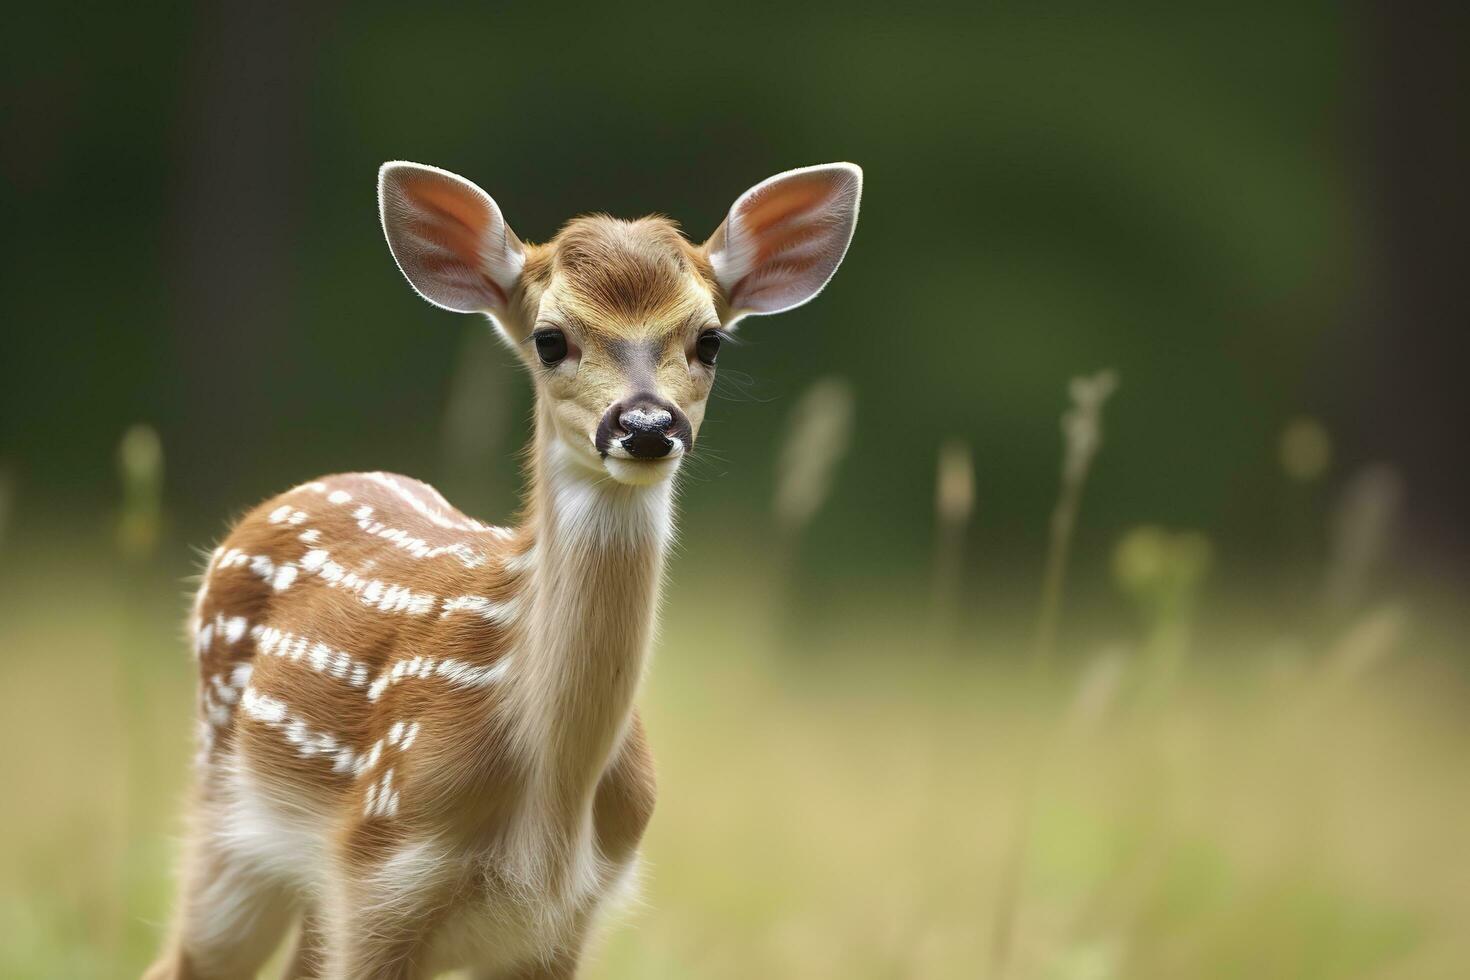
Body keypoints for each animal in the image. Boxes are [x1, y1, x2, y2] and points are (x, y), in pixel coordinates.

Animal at [146, 160, 858, 980]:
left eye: (710, 340)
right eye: (550, 339)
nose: (646, 425)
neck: (552, 807)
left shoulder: (565, 922)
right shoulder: (378, 875)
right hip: (229, 820)